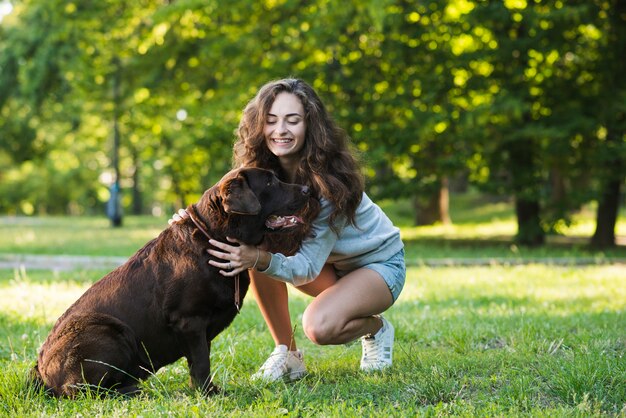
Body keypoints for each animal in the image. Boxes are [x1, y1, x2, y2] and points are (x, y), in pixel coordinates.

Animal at [30, 168, 312, 396]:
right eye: (270, 181)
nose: (307, 189)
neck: (214, 237)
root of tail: (40, 368)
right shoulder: (190, 320)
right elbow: (201, 361)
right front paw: (207, 393)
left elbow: (199, 360)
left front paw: (206, 389)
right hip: (108, 331)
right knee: (82, 390)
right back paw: (132, 391)